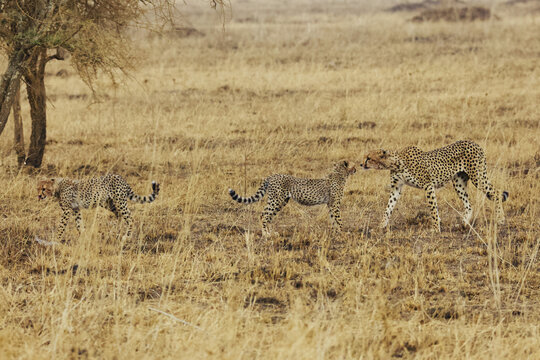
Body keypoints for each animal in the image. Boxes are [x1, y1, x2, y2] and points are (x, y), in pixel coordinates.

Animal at [360, 139, 508, 232]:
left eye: (369, 158)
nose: (361, 164)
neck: (395, 162)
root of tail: (474, 143)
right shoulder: (396, 188)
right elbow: (388, 208)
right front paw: (381, 225)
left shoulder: (428, 185)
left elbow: (433, 208)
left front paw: (436, 228)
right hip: (458, 182)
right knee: (469, 205)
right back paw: (463, 224)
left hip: (478, 177)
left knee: (496, 192)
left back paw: (501, 219)